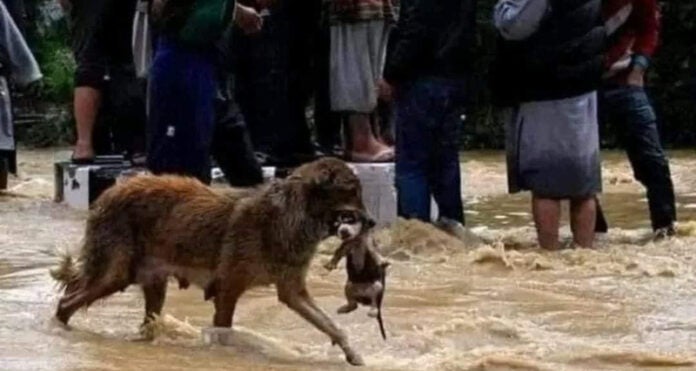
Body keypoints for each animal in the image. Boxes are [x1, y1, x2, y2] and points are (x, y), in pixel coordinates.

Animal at [51, 157, 368, 366]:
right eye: (352, 191)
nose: (372, 221)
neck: (292, 215)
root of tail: (108, 192)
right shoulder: (228, 290)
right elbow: (223, 330)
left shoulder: (293, 292)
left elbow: (331, 326)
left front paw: (353, 354)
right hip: (115, 275)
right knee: (66, 303)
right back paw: (60, 332)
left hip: (151, 284)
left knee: (145, 321)